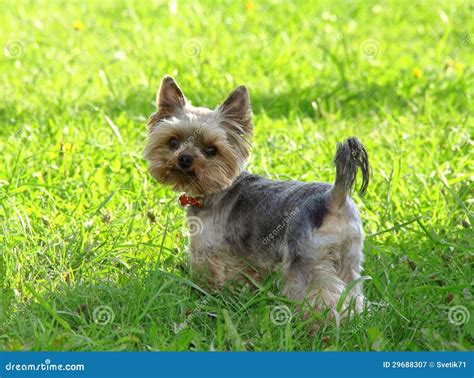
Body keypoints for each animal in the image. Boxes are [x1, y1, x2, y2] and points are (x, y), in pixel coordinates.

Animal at [144, 75, 370, 314]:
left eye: (211, 150)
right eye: (173, 142)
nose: (184, 159)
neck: (216, 190)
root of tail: (334, 198)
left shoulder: (207, 248)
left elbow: (209, 276)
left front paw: (205, 297)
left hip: (307, 258)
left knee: (322, 297)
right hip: (349, 258)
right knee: (352, 291)